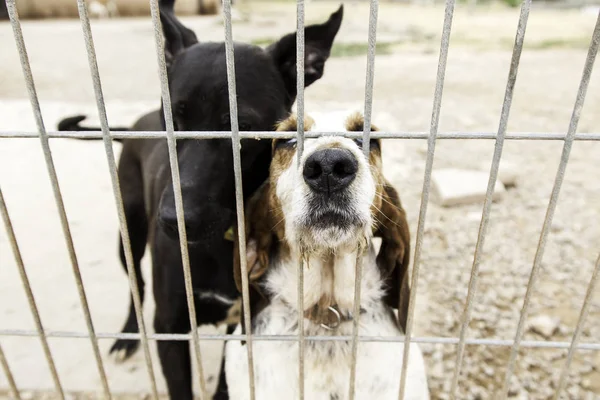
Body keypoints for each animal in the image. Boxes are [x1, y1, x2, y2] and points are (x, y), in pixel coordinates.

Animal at [59, 3, 344, 400]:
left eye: (243, 128)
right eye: (171, 121)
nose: (172, 221)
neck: (226, 241)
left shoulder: (244, 325)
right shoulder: (171, 329)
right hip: (129, 232)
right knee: (136, 284)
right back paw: (128, 335)